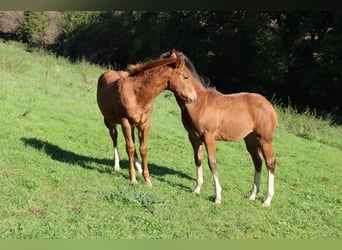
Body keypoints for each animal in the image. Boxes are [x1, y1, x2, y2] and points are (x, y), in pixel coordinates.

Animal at [96, 51, 198, 187]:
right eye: (186, 77)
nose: (194, 98)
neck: (137, 95)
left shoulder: (144, 123)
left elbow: (143, 149)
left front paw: (147, 180)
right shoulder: (125, 121)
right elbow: (130, 148)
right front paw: (133, 178)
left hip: (132, 125)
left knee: (132, 141)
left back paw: (138, 167)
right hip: (110, 121)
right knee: (115, 138)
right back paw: (117, 166)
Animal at [161, 49, 278, 207]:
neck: (199, 103)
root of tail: (269, 105)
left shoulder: (209, 136)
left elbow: (212, 163)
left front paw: (217, 197)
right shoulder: (193, 137)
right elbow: (198, 159)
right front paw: (196, 190)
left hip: (265, 139)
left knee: (270, 162)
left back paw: (267, 200)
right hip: (251, 139)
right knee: (258, 161)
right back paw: (252, 195)